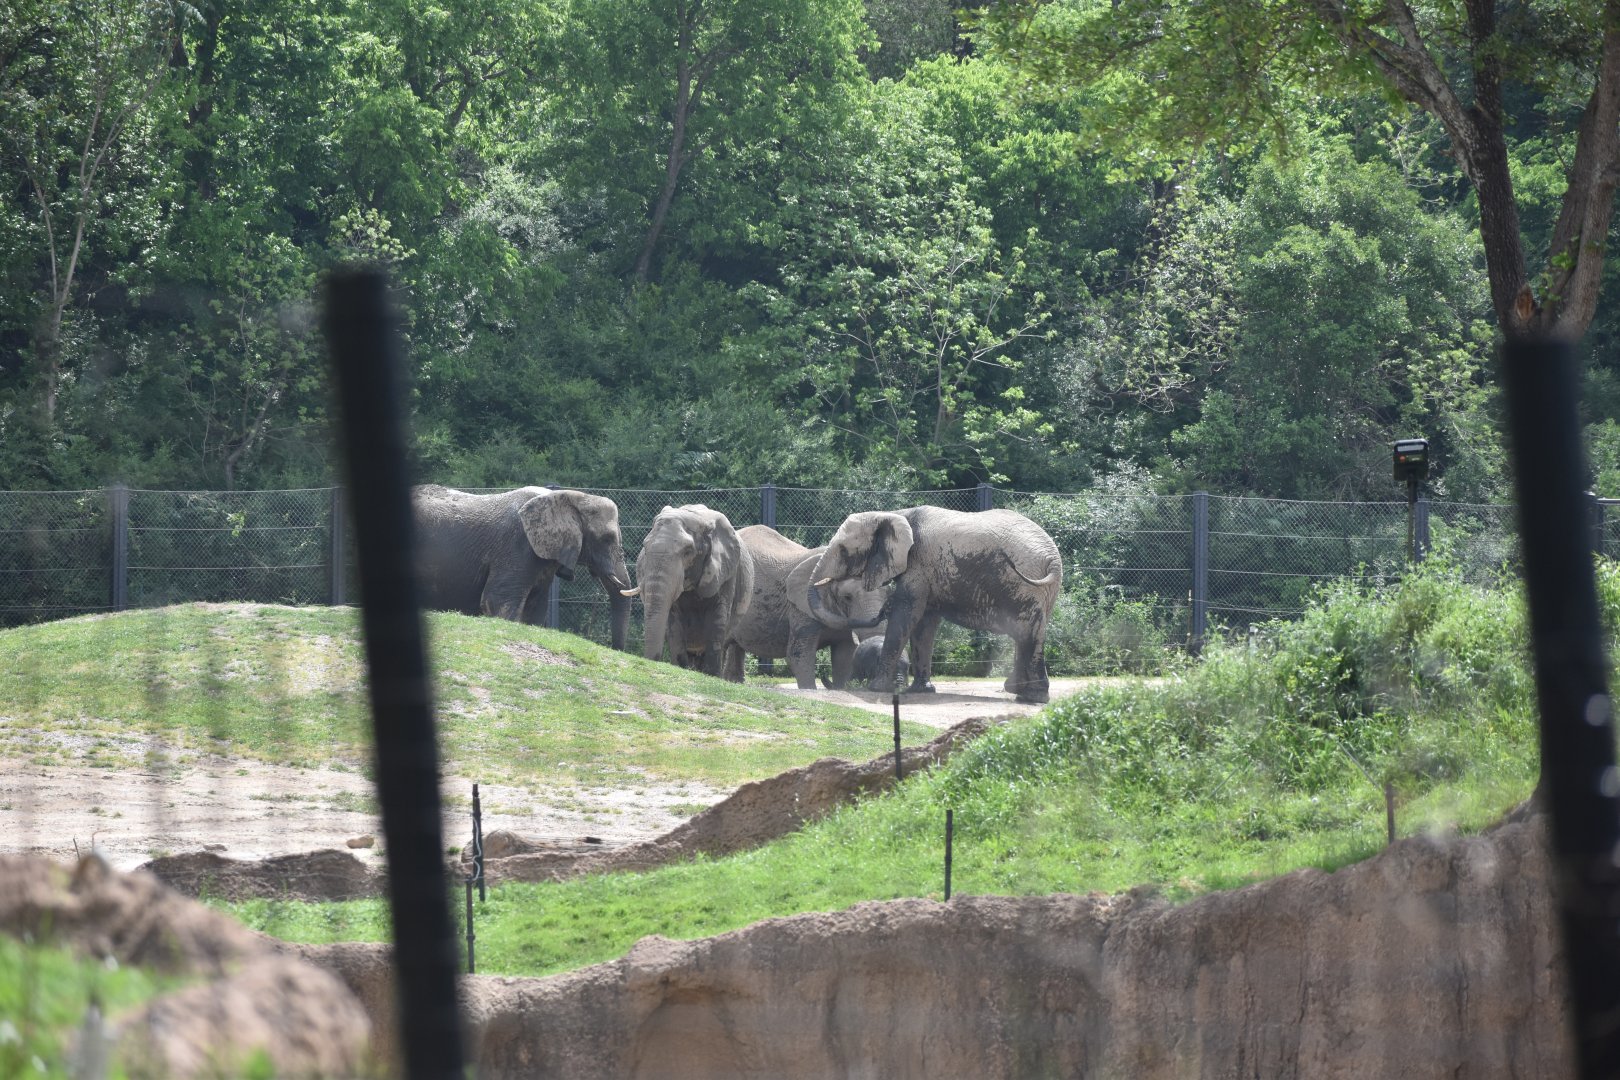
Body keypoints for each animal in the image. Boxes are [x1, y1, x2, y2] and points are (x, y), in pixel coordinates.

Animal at [411, 485, 632, 650]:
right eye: (607, 539)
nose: (615, 648)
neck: (568, 497)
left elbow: (535, 609)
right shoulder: (516, 546)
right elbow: (497, 602)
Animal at [622, 504, 754, 677]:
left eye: (688, 551)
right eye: (645, 547)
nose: (653, 661)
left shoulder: (727, 573)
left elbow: (717, 621)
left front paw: (712, 675)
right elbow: (674, 623)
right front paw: (680, 667)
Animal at [719, 525, 889, 688]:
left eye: (886, 593)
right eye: (847, 597)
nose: (881, 614)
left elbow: (844, 655)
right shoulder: (800, 605)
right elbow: (799, 653)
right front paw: (810, 689)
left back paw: (734, 682)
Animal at [805, 506, 1062, 703]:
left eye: (844, 551)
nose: (883, 609)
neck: (896, 514)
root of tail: (1053, 558)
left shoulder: (918, 564)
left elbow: (907, 613)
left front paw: (876, 688)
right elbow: (924, 624)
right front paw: (920, 691)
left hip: (1023, 583)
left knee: (1027, 632)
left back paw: (1031, 697)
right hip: (1041, 590)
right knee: (1030, 631)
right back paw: (1023, 694)